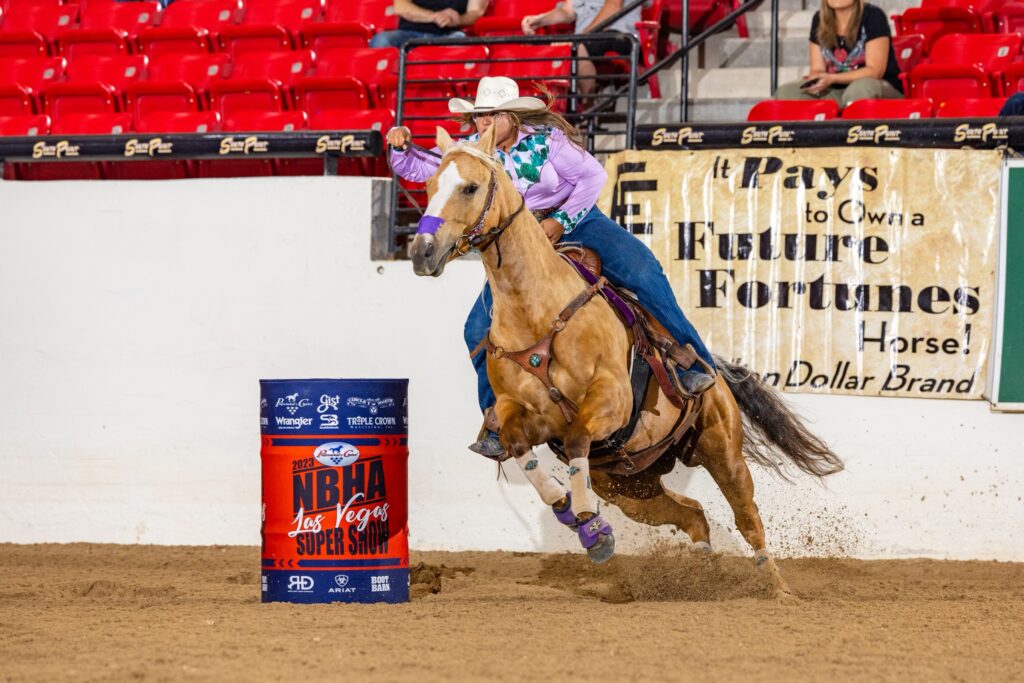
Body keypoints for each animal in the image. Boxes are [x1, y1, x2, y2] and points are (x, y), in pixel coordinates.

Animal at [411, 125, 843, 593]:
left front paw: (590, 526)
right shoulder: (527, 413)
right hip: (630, 486)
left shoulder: (611, 399)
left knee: (747, 519)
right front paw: (574, 514)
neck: (538, 309)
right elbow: (518, 445)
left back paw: (776, 589)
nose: (421, 251)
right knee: (692, 514)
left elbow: (578, 437)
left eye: (470, 187)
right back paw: (701, 576)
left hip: (722, 449)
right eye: (429, 186)